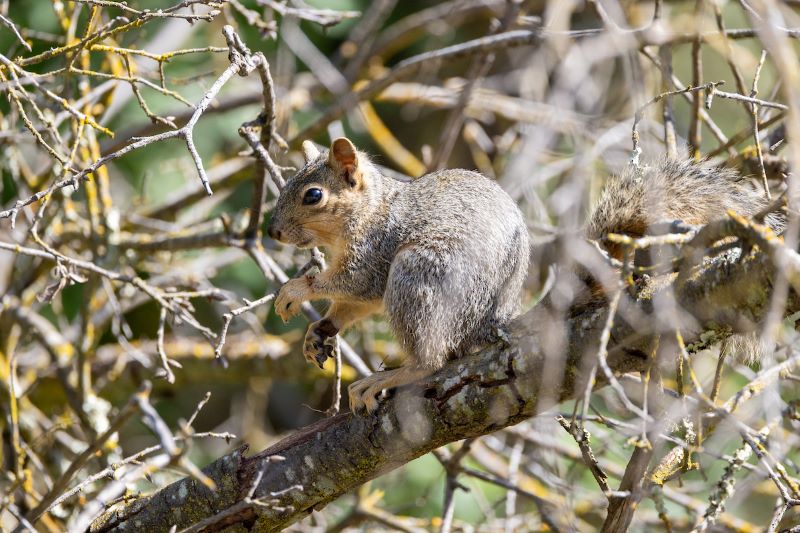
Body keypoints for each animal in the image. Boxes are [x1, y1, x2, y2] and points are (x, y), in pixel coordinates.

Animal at [268, 137, 530, 413]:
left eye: (313, 195)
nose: (272, 231)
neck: (370, 209)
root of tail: (493, 321)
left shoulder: (374, 250)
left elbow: (354, 283)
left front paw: (295, 290)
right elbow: (358, 304)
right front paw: (319, 329)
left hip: (419, 277)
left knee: (431, 361)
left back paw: (384, 379)